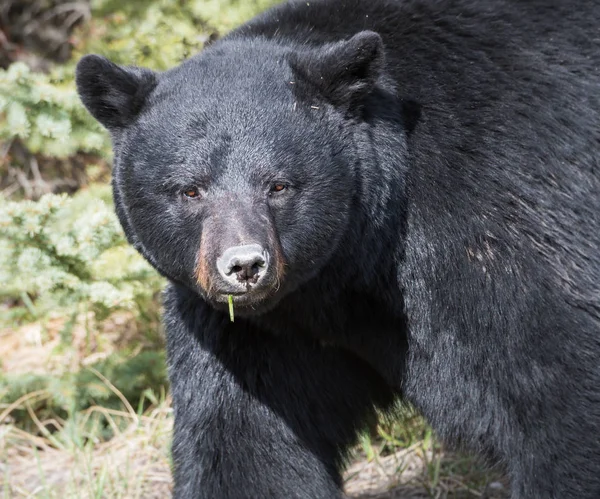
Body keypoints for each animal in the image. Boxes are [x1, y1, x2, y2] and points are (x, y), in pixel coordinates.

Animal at [75, 0, 600, 498]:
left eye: (278, 185)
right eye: (189, 190)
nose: (245, 265)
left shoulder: (495, 228)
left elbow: (559, 388)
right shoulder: (249, 331)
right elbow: (245, 442)